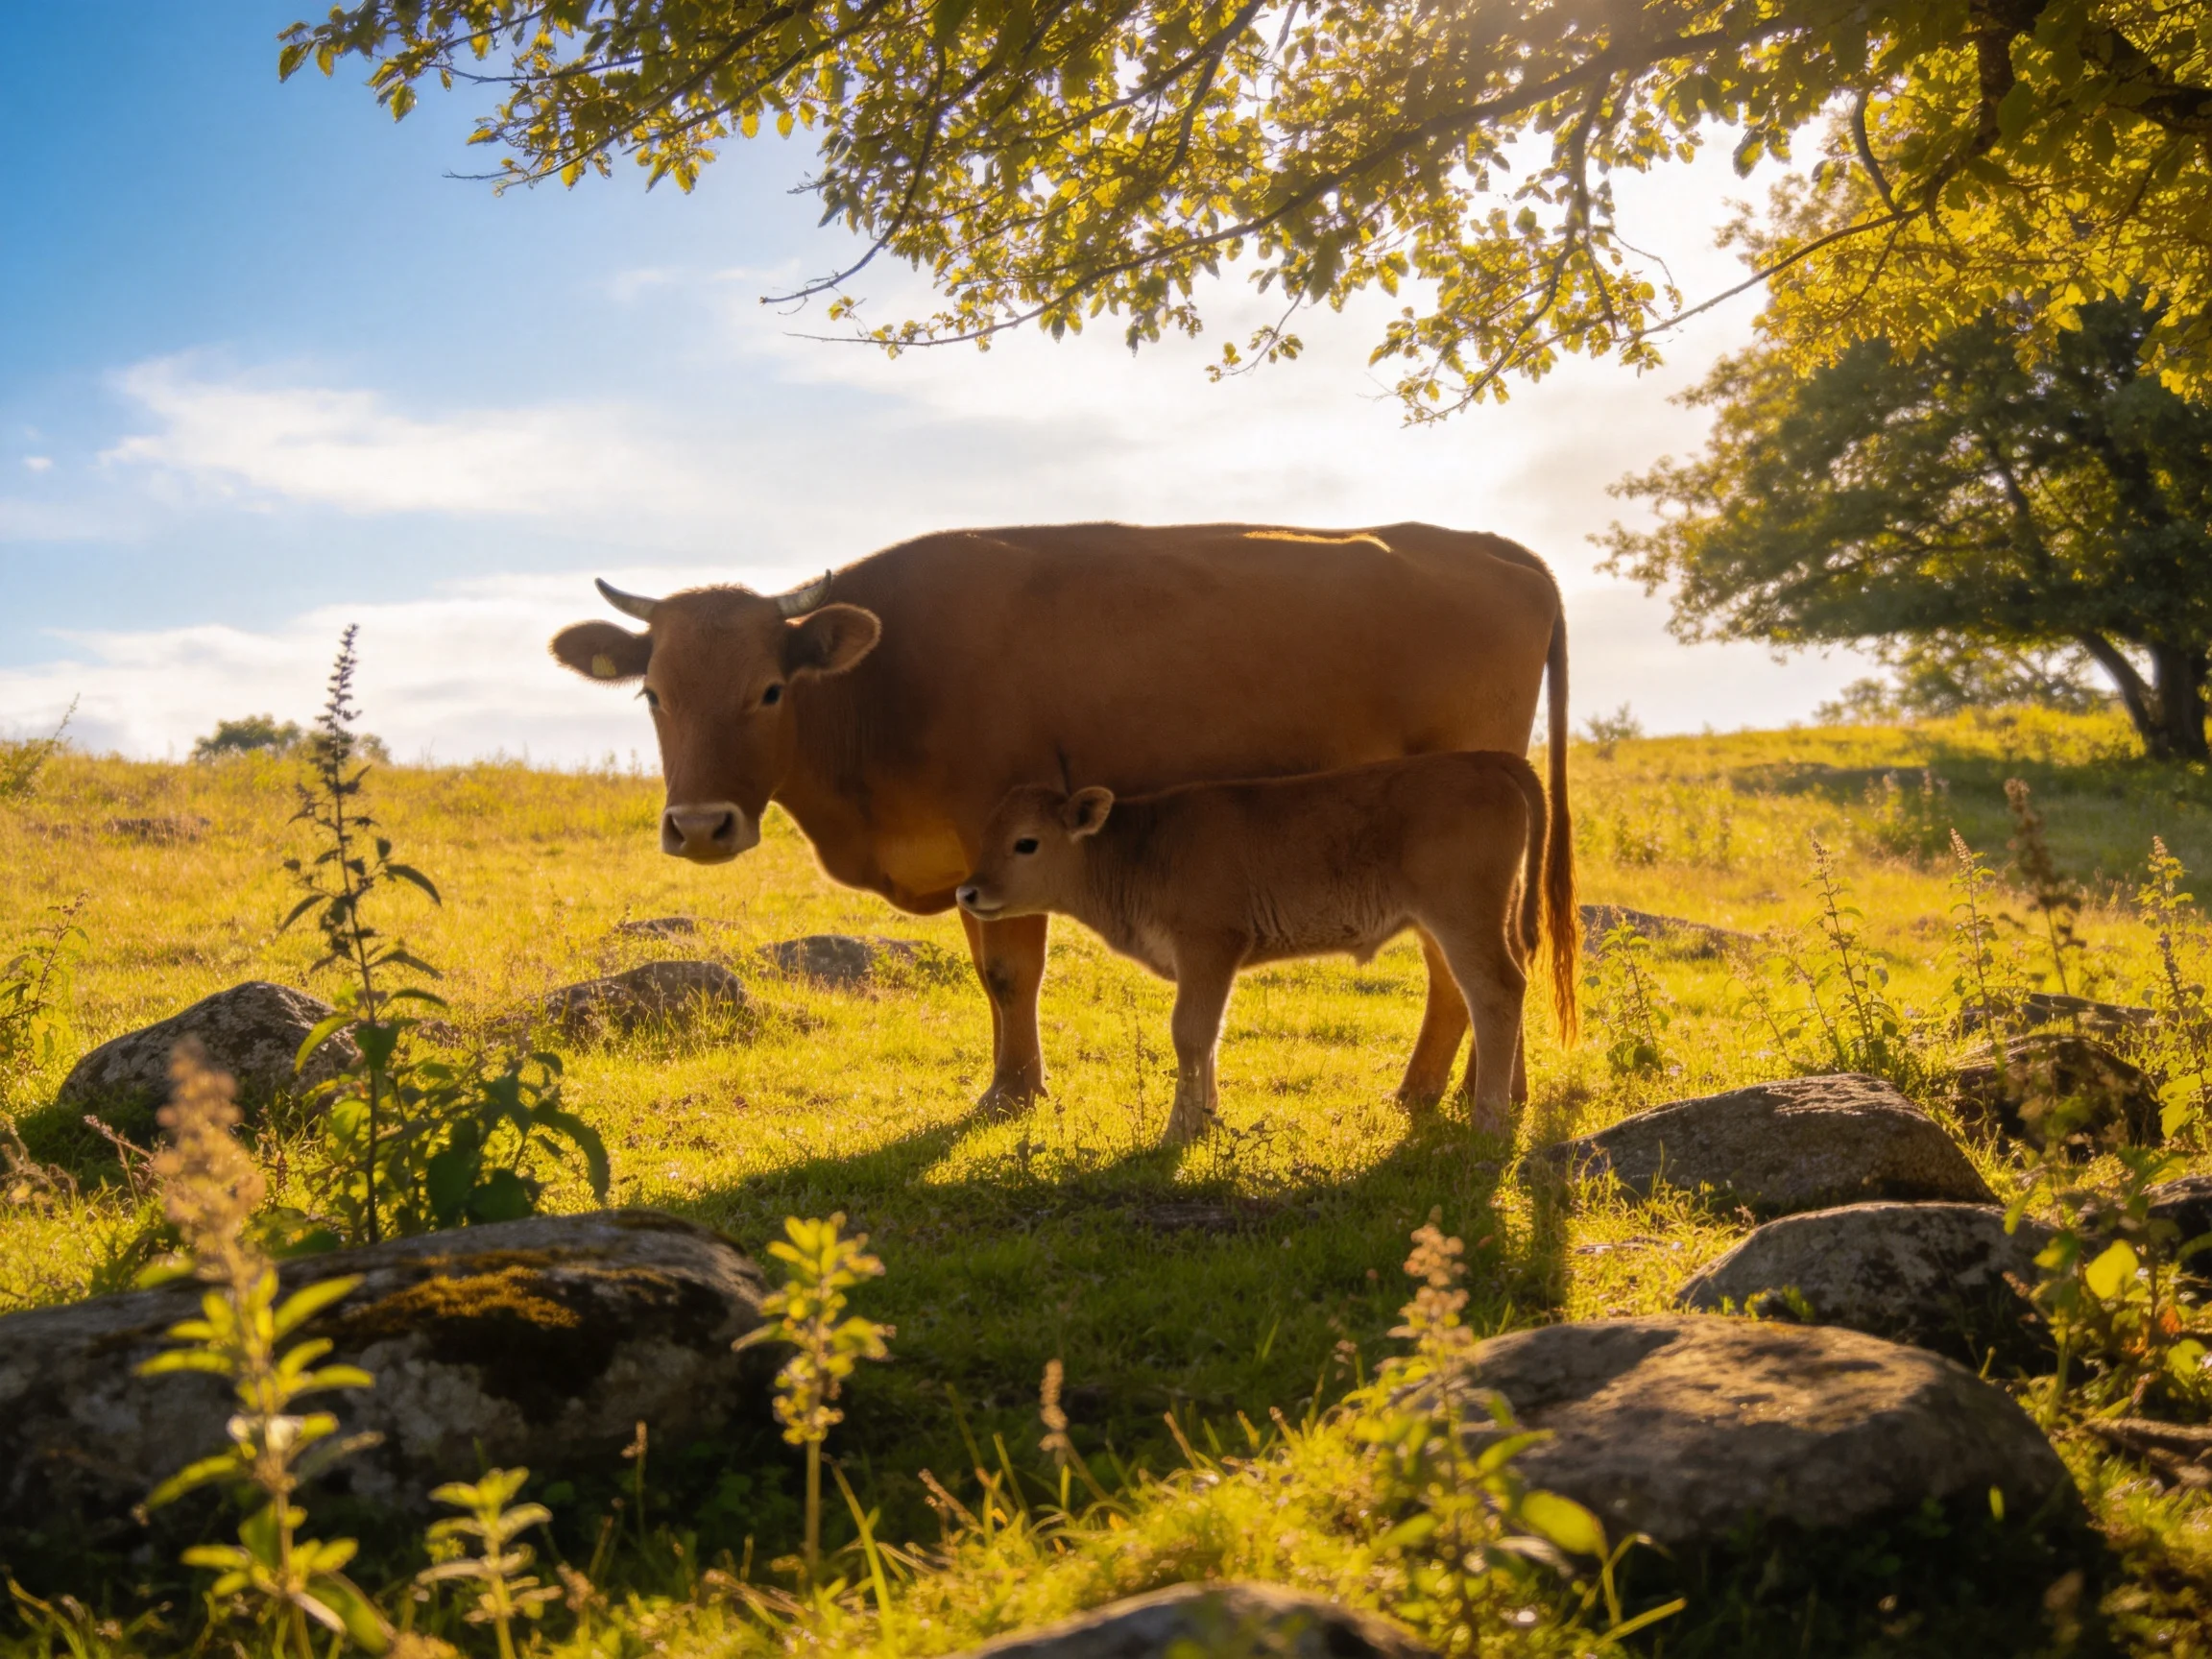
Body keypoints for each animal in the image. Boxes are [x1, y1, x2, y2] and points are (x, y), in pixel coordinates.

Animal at [955, 753, 1570, 1142]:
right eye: (986, 835)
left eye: (1026, 843)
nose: (968, 891)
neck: (1142, 848)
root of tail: (1487, 759)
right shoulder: (1211, 963)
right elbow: (1210, 1034)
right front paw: (1205, 1117)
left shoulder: (1207, 947)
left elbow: (1190, 1032)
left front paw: (1177, 1130)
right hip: (1456, 926)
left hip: (1462, 921)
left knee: (1495, 992)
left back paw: (1488, 1122)